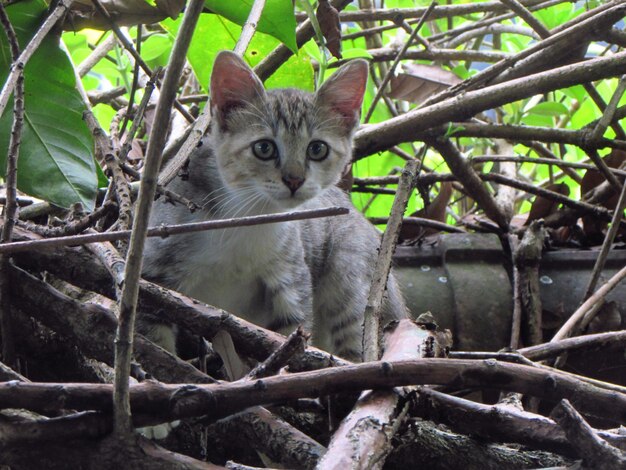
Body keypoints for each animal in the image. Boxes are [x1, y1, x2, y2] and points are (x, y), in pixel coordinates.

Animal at [141, 51, 404, 360]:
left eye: (317, 149)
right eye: (264, 148)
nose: (294, 180)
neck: (246, 223)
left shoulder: (291, 280)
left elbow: (288, 336)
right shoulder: (153, 274)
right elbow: (154, 342)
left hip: (350, 278)